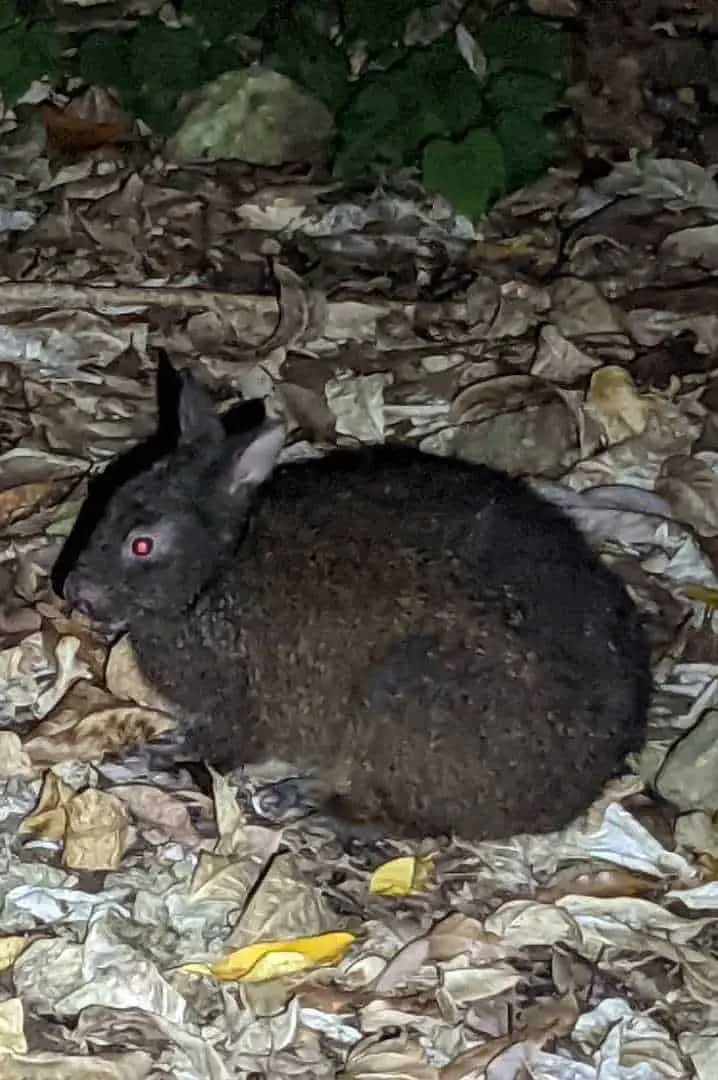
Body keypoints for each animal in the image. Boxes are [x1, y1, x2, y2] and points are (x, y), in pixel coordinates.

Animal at [56, 362, 647, 842]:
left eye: (142, 545)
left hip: (406, 702)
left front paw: (165, 753)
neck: (219, 570)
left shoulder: (244, 699)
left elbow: (227, 742)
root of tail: (586, 781)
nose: (74, 592)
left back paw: (306, 803)